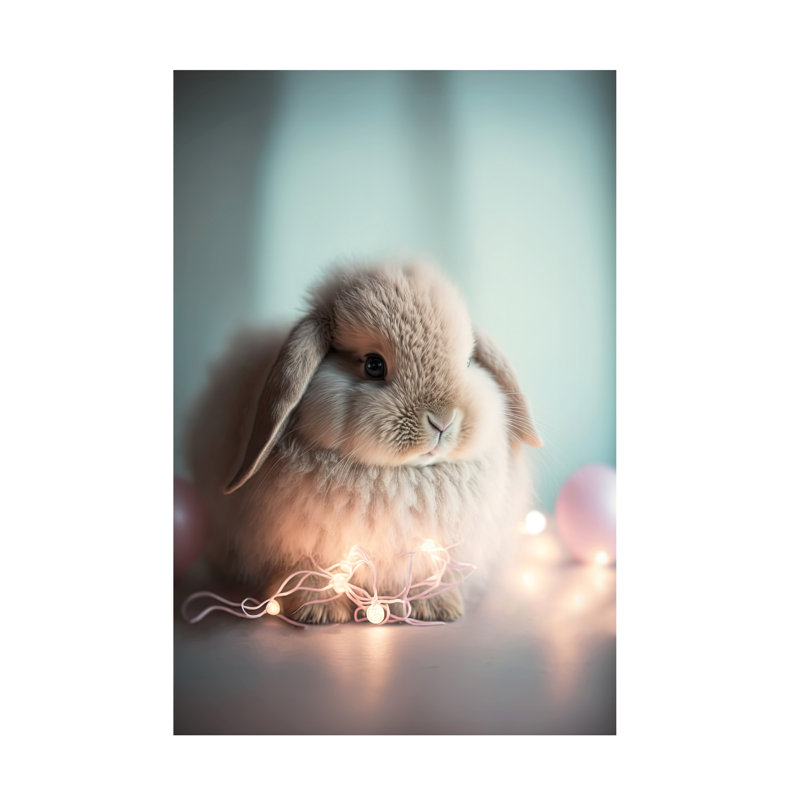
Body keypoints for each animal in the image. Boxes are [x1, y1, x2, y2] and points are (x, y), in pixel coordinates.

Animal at [185, 258, 542, 623]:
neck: (398, 476)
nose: (442, 421)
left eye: (468, 362)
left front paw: (435, 607)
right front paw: (319, 612)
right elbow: (311, 572)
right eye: (373, 365)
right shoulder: (304, 548)